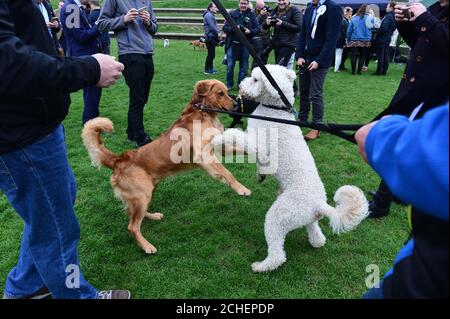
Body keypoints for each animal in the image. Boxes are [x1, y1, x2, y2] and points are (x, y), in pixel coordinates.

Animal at [213, 65, 368, 272]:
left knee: (278, 254)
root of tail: (318, 204)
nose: (241, 86)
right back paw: (316, 242)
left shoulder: (260, 147)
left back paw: (261, 266)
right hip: (308, 218)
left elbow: (235, 135)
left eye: (255, 79)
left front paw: (218, 139)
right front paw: (260, 174)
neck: (275, 111)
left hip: (278, 217)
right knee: (317, 236)